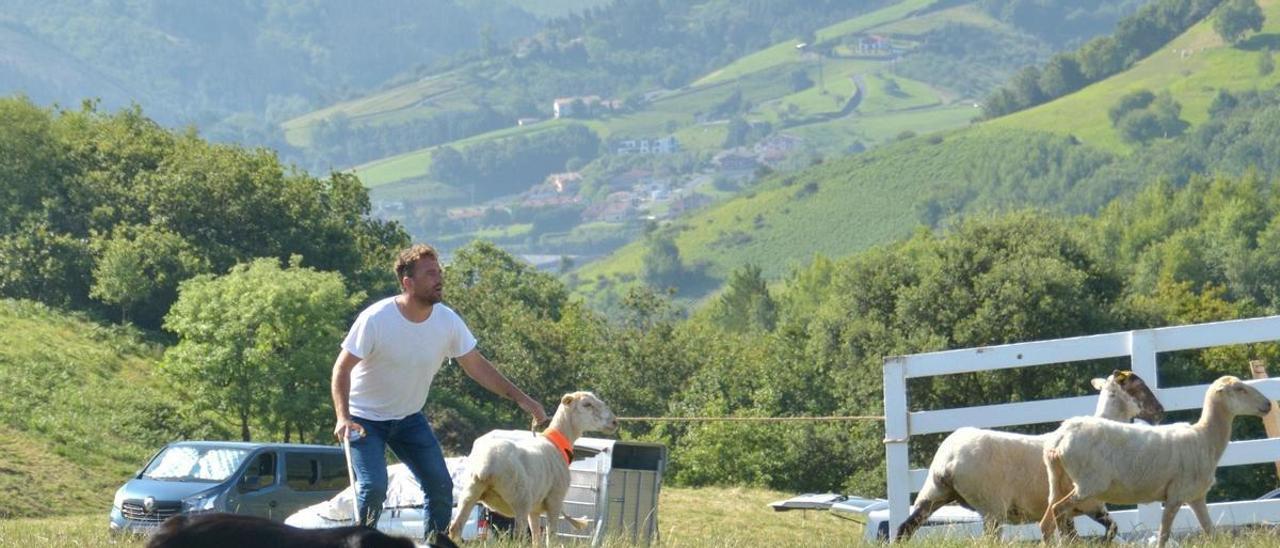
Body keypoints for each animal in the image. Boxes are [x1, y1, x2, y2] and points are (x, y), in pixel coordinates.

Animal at [448, 389, 616, 542]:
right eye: (587, 404)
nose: (614, 422)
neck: (557, 442)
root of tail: (487, 464)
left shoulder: (535, 510)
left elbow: (536, 538)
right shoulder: (555, 500)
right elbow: (551, 537)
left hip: (469, 493)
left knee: (455, 528)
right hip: (519, 499)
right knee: (517, 536)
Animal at [896, 371, 1167, 540]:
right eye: (1139, 386)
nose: (1160, 411)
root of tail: (947, 463)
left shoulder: (1073, 511)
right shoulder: (1089, 503)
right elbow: (1108, 532)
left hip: (932, 493)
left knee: (904, 529)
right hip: (992, 506)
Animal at [1039, 376, 1269, 548]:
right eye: (1239, 389)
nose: (1267, 404)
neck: (1204, 437)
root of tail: (1060, 436)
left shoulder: (1196, 497)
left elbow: (1211, 532)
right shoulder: (1175, 496)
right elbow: (1163, 536)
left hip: (1057, 481)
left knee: (1046, 521)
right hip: (1088, 484)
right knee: (1059, 510)